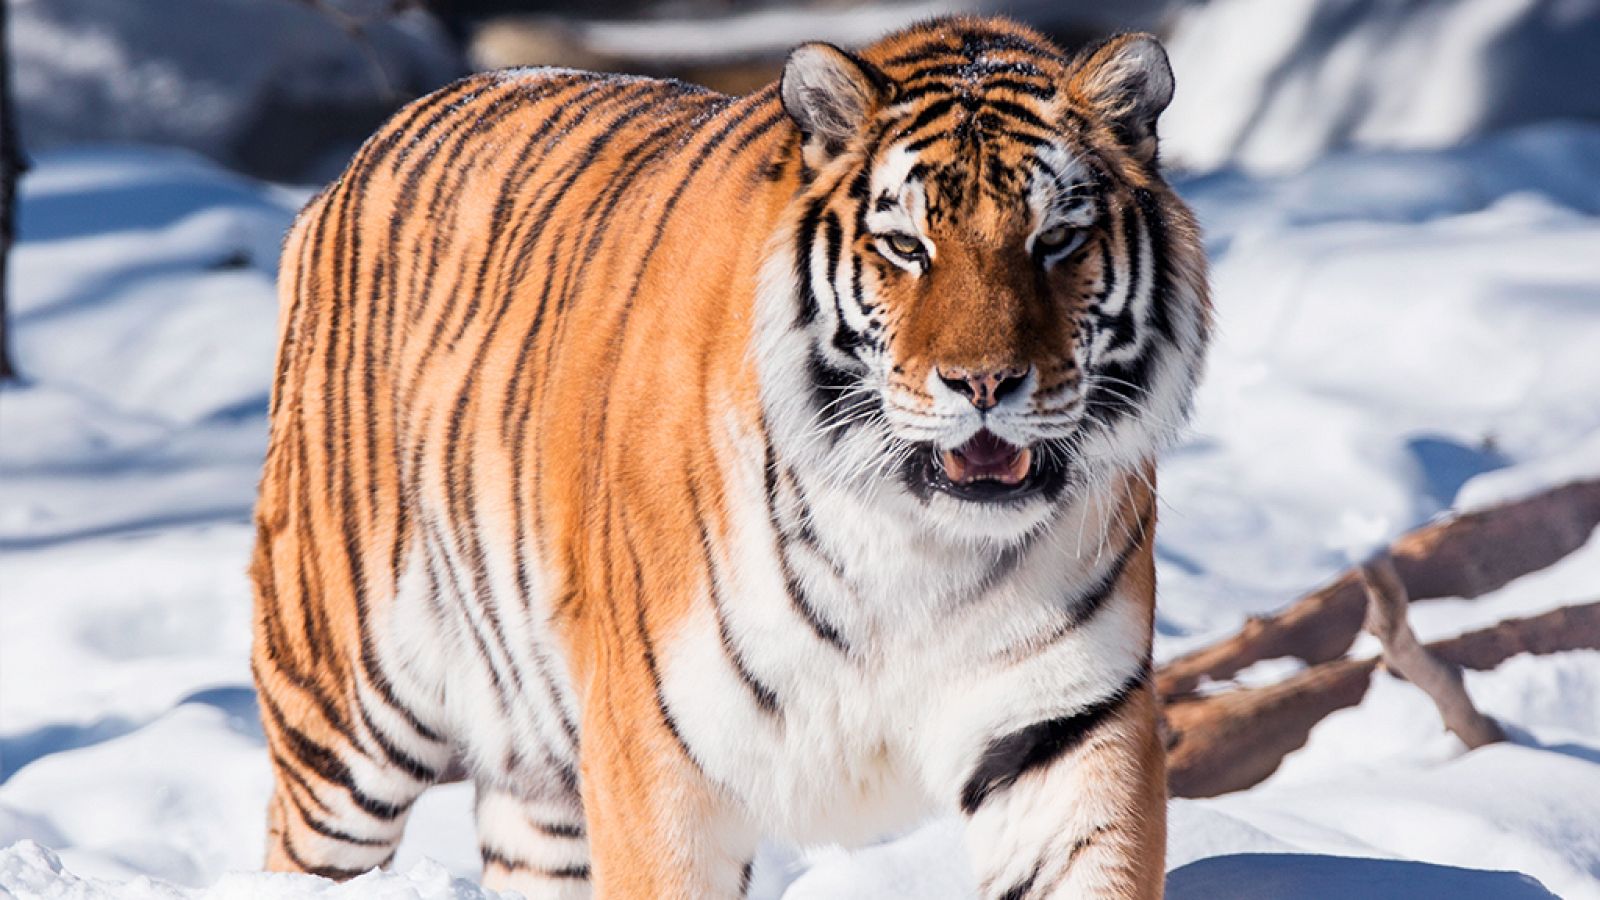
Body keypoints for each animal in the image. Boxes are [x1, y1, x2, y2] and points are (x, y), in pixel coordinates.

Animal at [249, 14, 1203, 896]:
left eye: (1057, 241)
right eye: (906, 246)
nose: (985, 383)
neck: (917, 547)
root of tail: (365, 152)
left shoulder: (1064, 729)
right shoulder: (657, 755)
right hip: (344, 723)